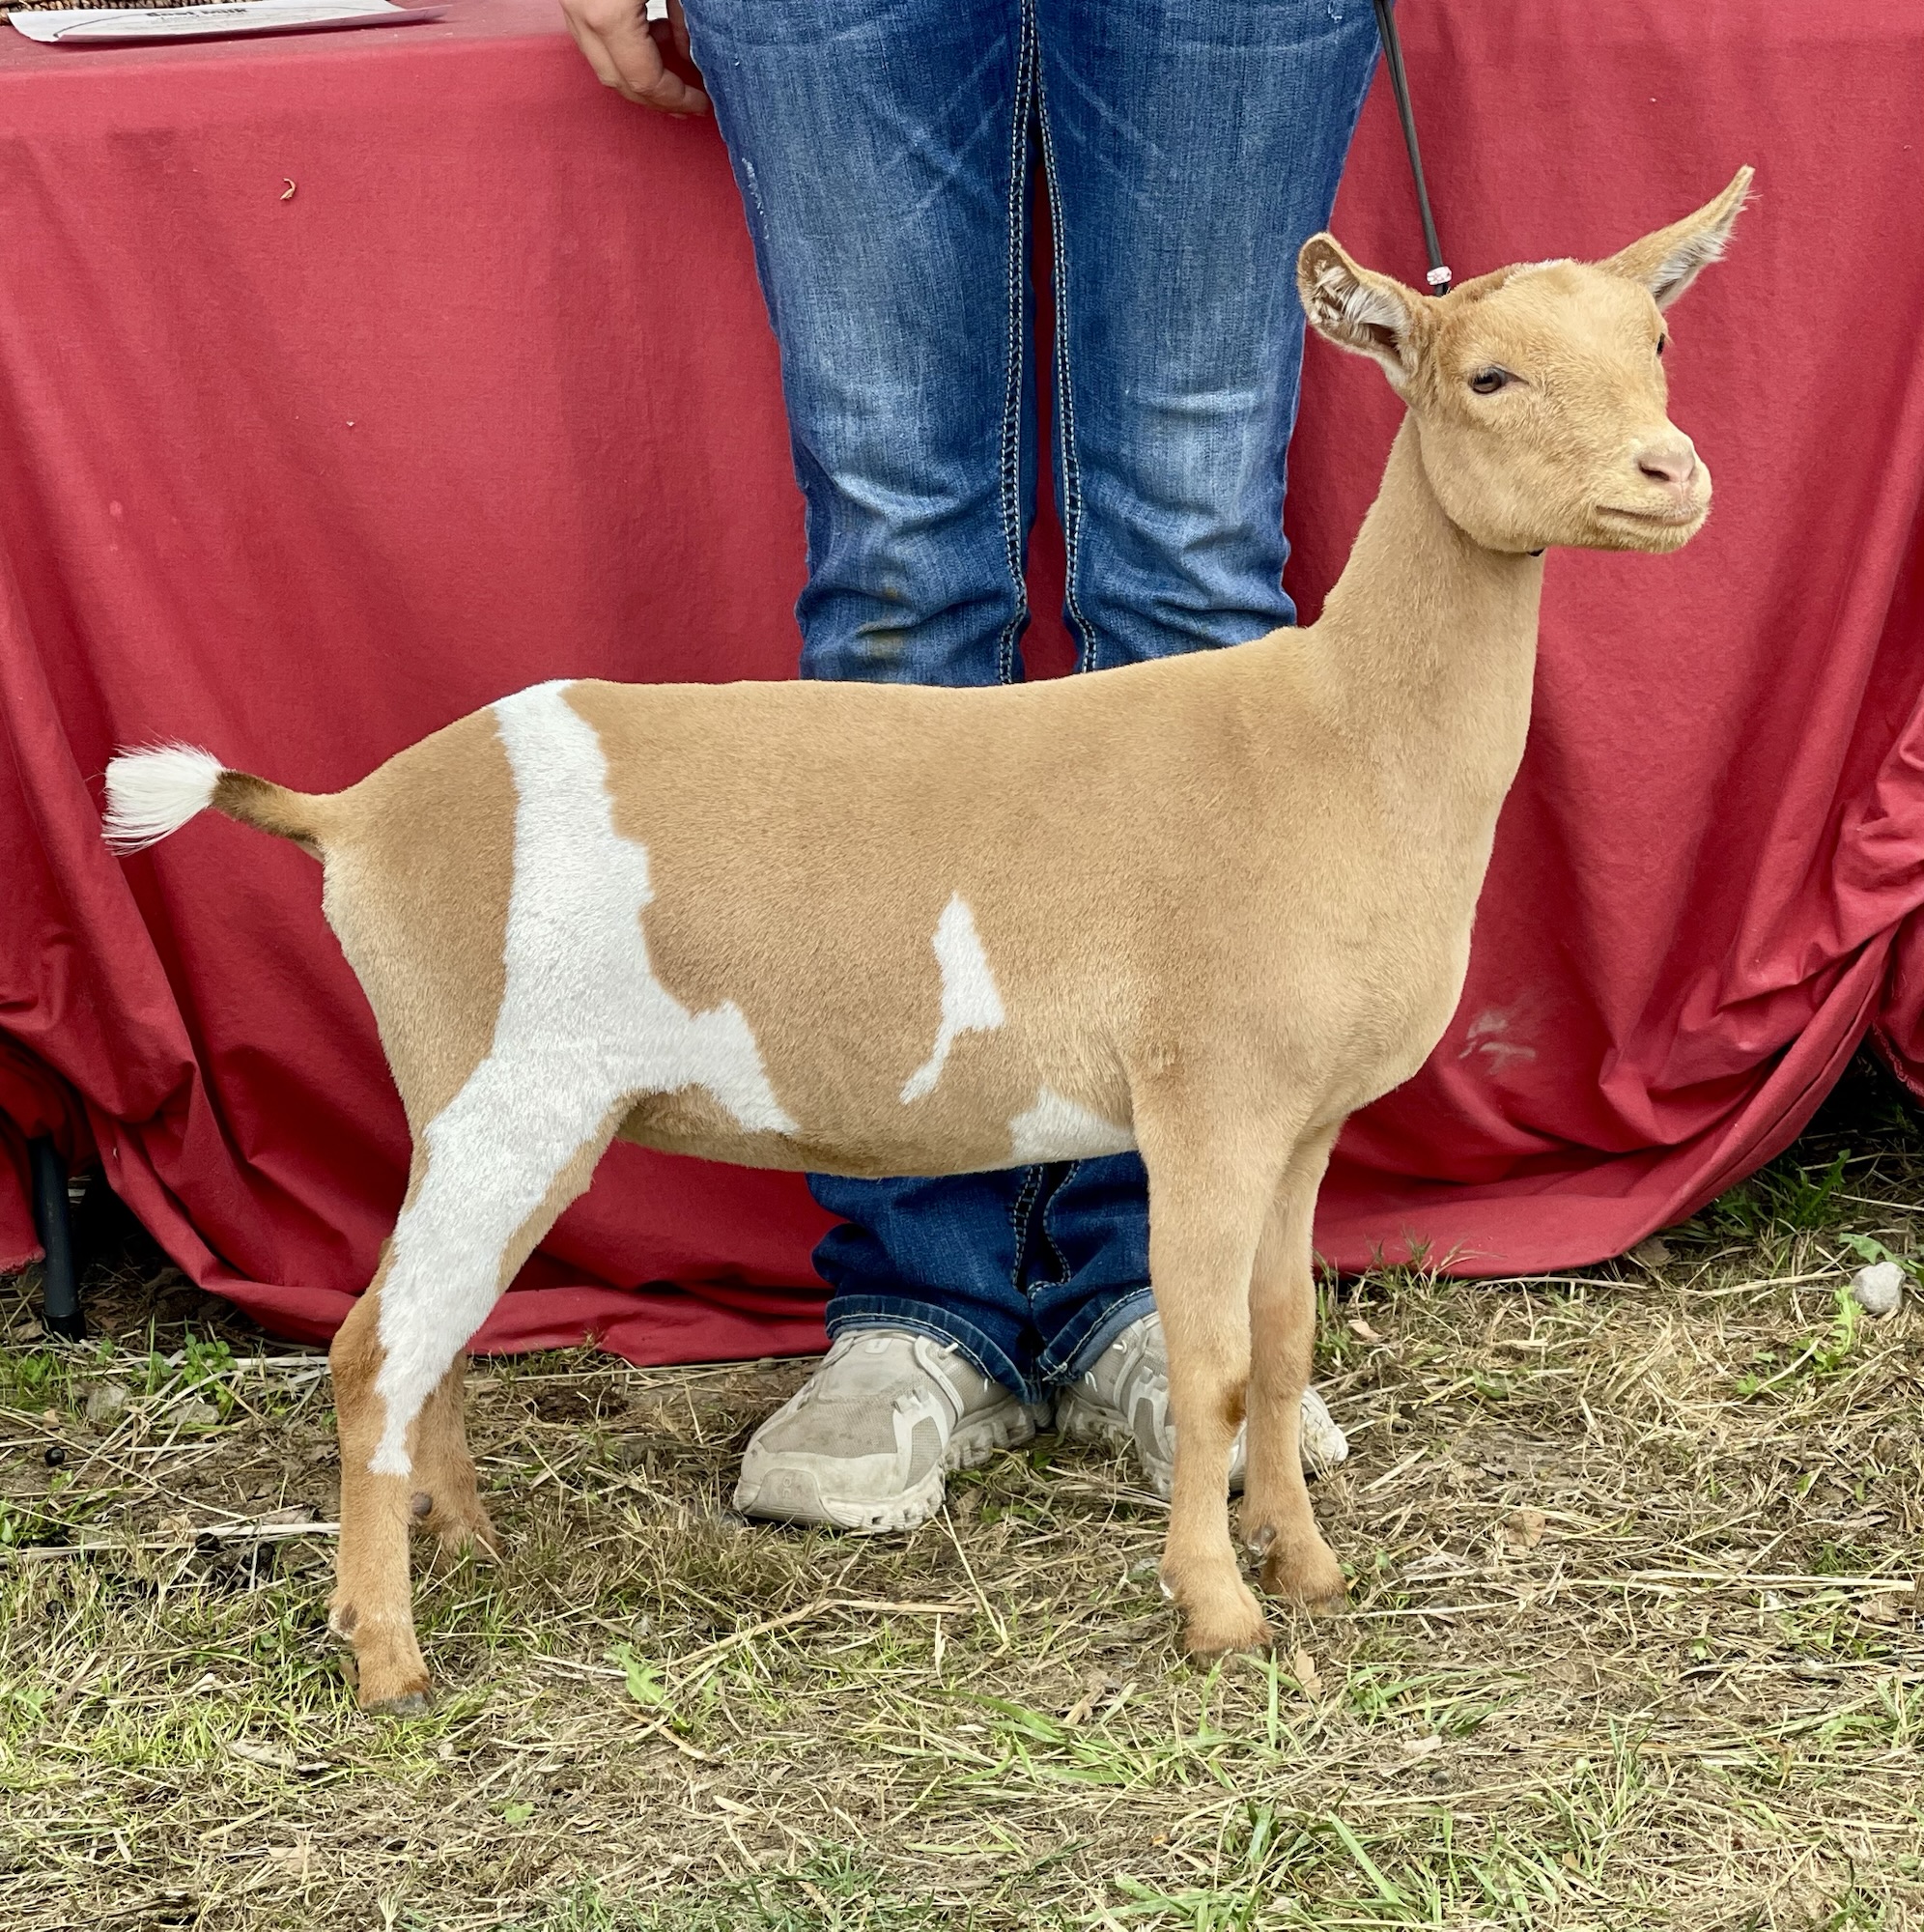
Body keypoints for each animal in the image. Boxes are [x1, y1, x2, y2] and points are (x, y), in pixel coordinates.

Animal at [102, 170, 1751, 1712]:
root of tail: (352, 814)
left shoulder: (1302, 1122)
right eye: (1488, 376)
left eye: (1663, 341)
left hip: (497, 1109)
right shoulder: (1205, 1100)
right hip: (501, 1083)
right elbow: (1213, 1368)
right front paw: (1219, 1615)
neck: (1335, 737)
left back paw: (468, 1547)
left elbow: (1284, 1349)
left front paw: (1310, 1570)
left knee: (427, 1329)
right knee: (373, 1346)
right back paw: (389, 1658)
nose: (1674, 473)